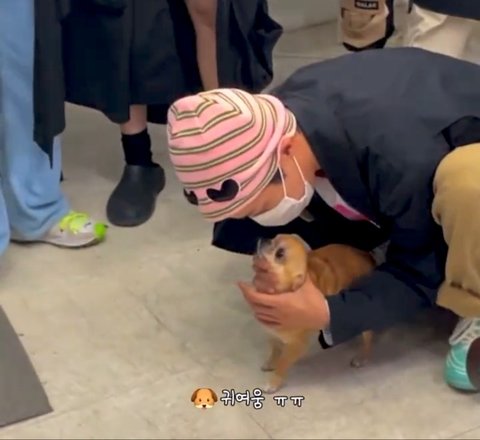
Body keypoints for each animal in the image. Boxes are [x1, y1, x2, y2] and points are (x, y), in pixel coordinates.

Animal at [255, 234, 376, 393]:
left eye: (279, 254)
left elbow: (283, 363)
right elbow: (275, 350)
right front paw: (270, 363)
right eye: (274, 237)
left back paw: (361, 358)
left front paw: (273, 382)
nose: (264, 239)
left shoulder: (297, 344)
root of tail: (367, 257)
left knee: (368, 339)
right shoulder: (272, 333)